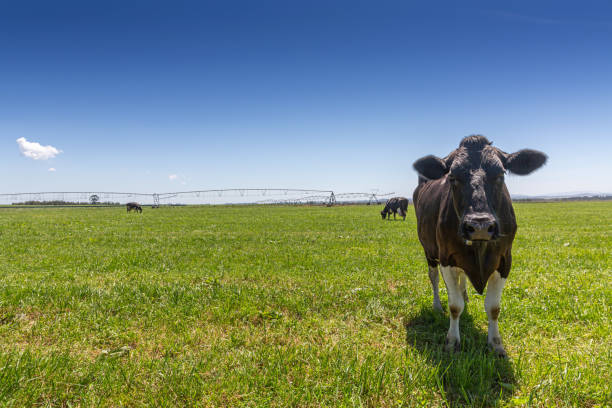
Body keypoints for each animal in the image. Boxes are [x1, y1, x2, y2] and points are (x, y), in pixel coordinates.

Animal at [414, 135, 548, 356]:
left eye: (501, 174)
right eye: (452, 177)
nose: (480, 226)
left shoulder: (505, 261)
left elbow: (493, 308)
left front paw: (496, 344)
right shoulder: (446, 258)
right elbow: (454, 306)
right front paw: (452, 341)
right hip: (429, 250)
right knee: (433, 278)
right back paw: (437, 305)